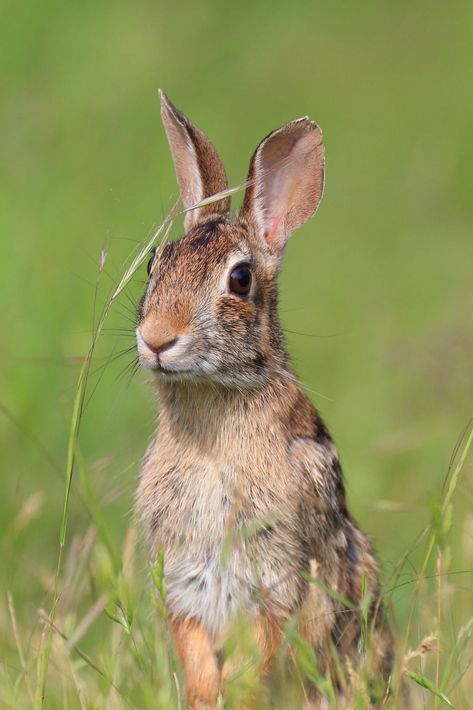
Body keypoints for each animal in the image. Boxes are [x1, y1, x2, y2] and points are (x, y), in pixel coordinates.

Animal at [135, 92, 392, 708]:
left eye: (240, 279)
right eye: (155, 263)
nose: (156, 339)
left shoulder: (274, 581)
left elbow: (259, 656)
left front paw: (242, 696)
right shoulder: (184, 585)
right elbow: (196, 655)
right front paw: (203, 698)